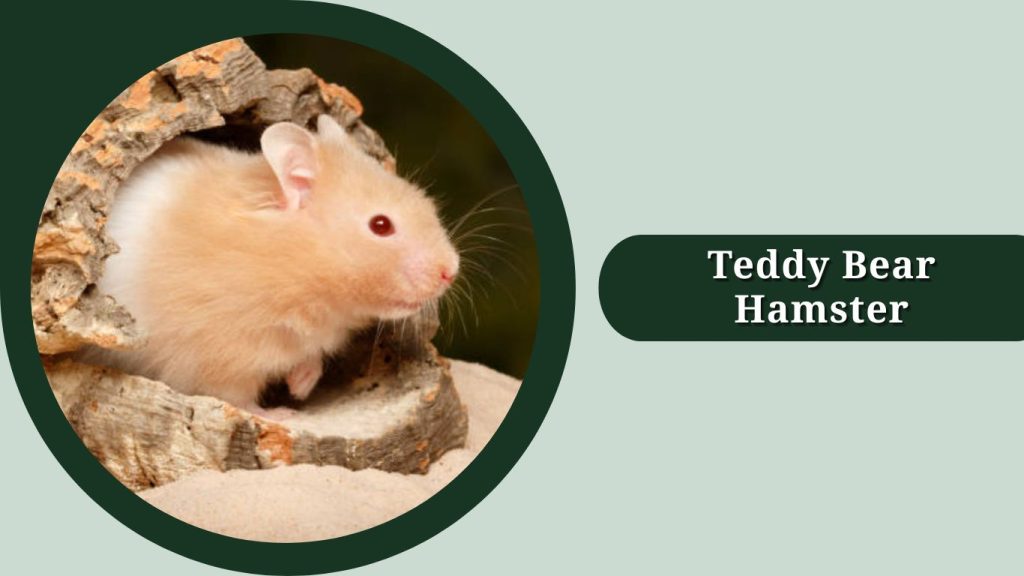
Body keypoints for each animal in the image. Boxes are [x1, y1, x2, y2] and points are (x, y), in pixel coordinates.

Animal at [91, 114, 459, 413]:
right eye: (381, 225)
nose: (451, 271)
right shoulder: (218, 353)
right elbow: (235, 397)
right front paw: (282, 413)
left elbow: (312, 358)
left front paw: (300, 387)